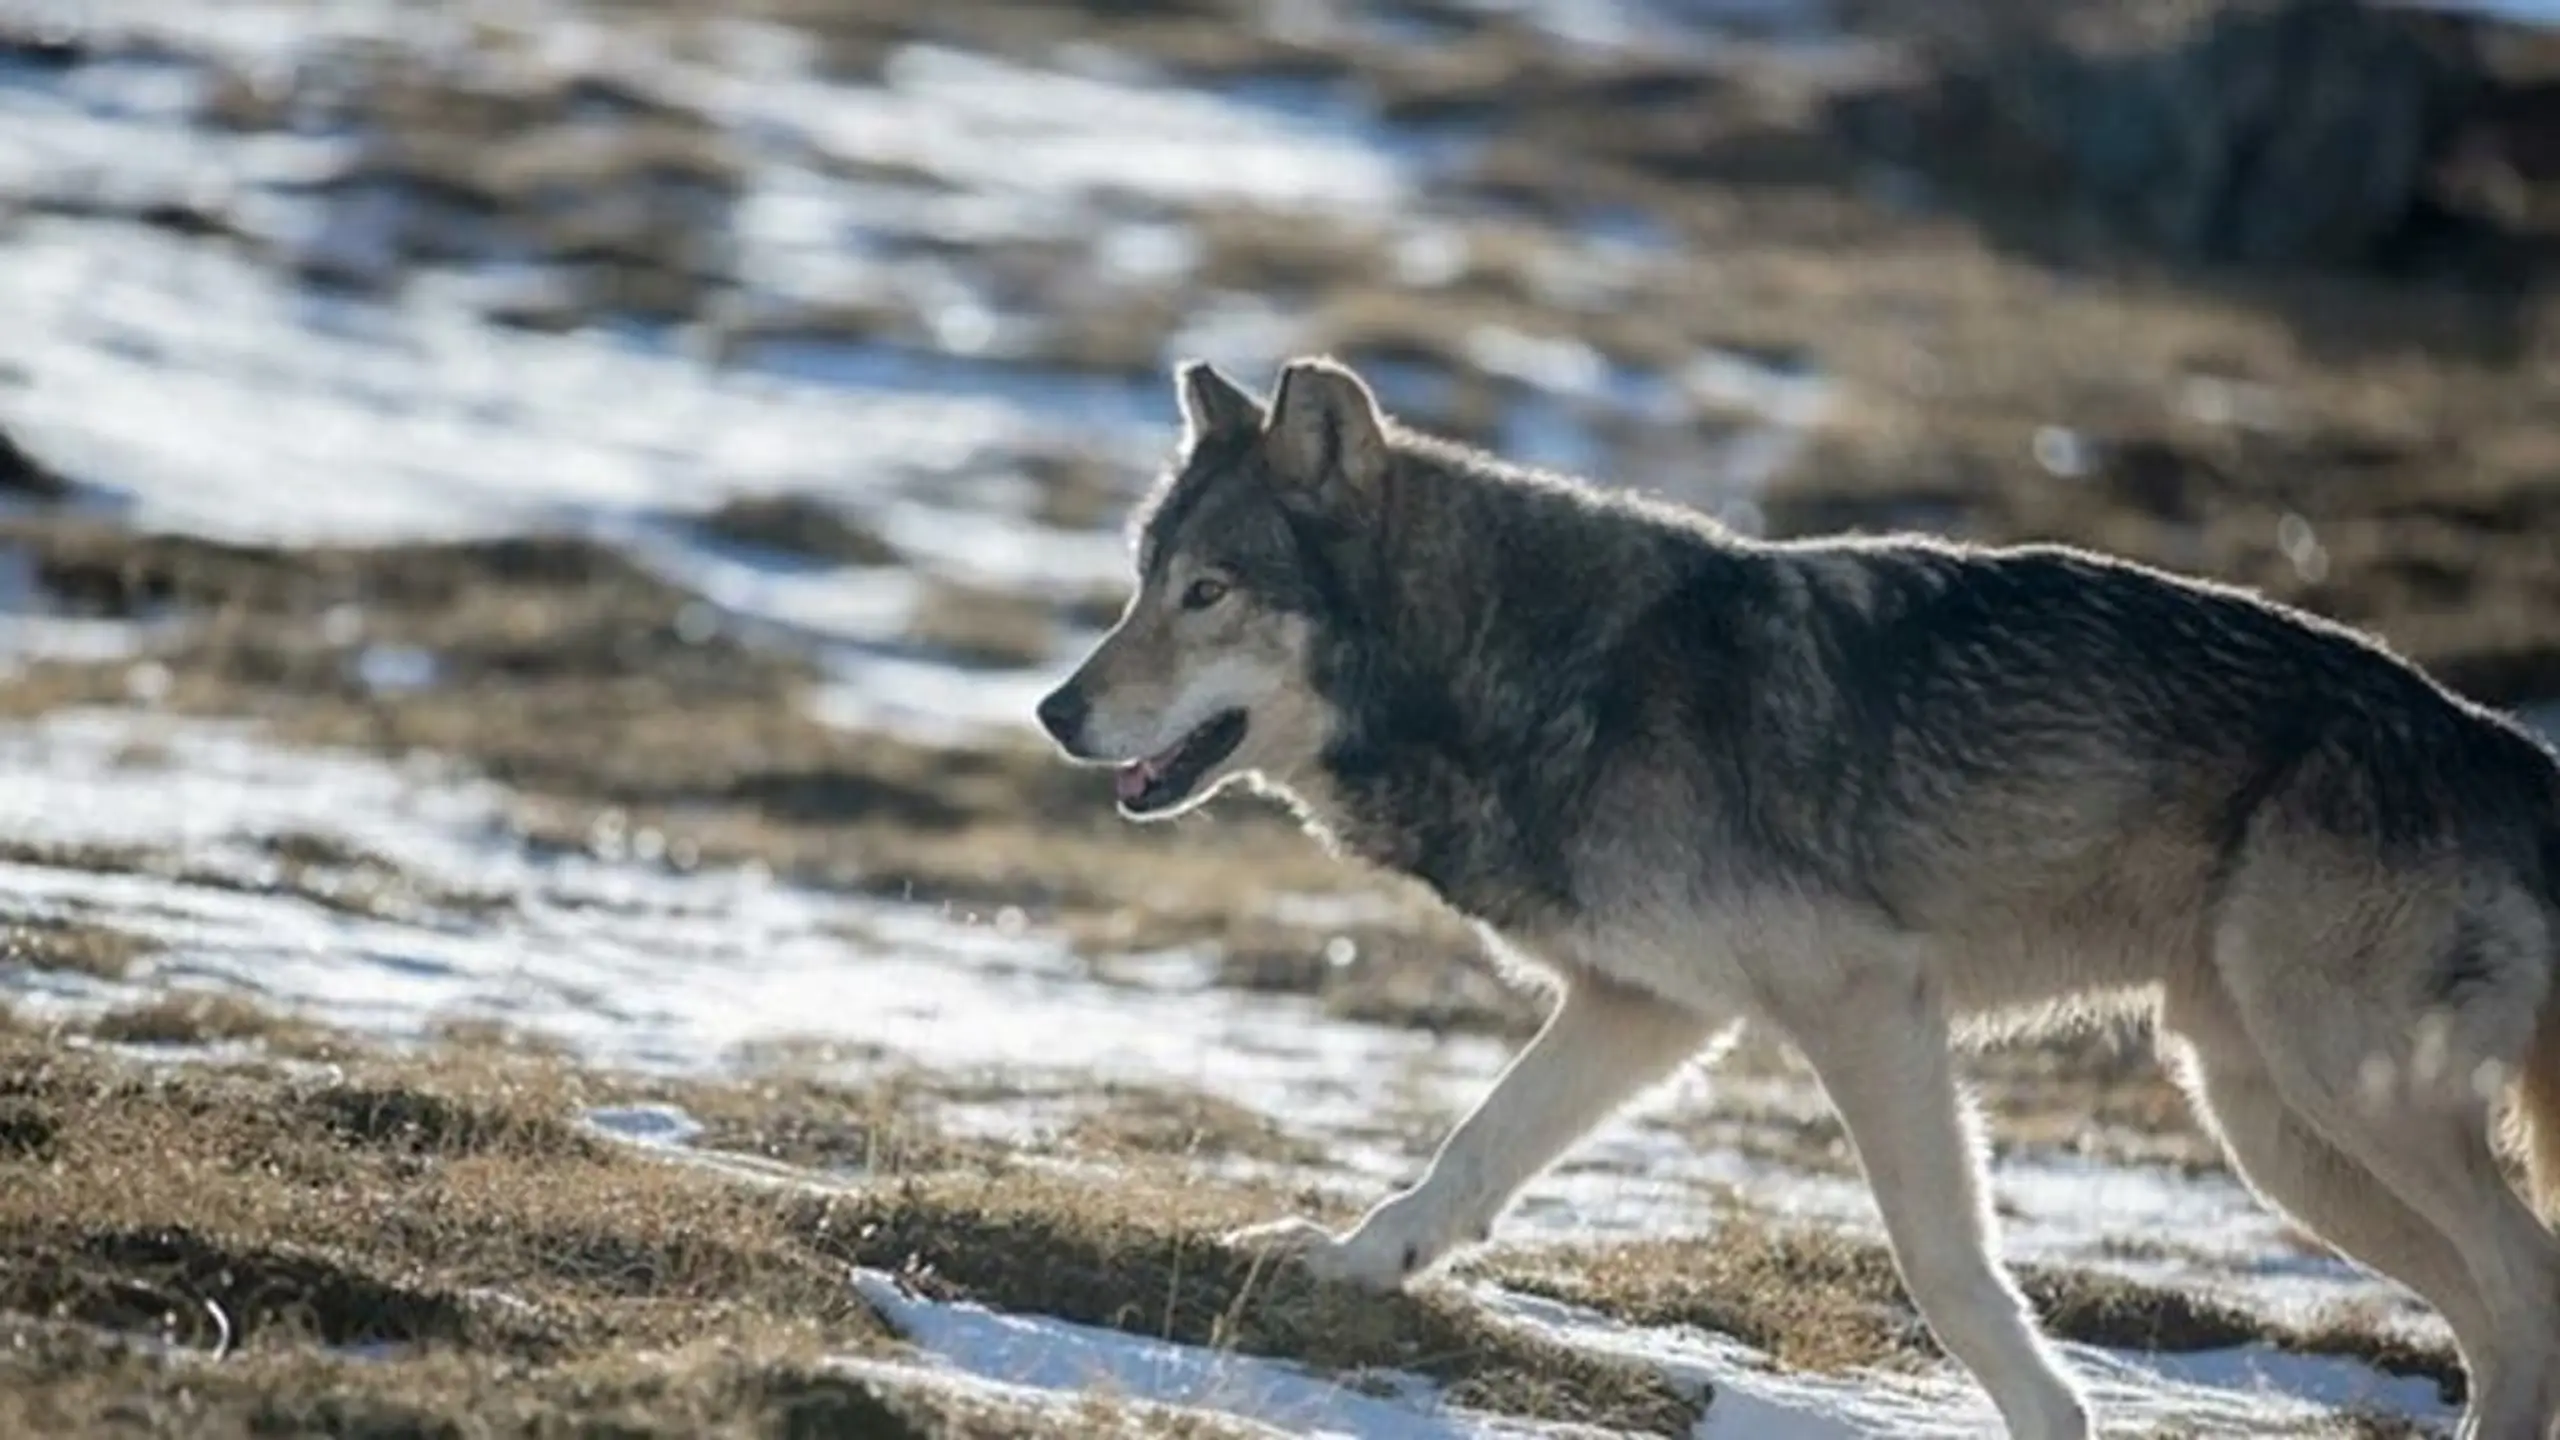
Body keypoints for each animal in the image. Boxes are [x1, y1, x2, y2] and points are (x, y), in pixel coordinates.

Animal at [1029, 351, 2560, 1434]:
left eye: (1209, 593)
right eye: (1140, 580)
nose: (1054, 710)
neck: (1539, 674)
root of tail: (2512, 753)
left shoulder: (1867, 1004)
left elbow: (1945, 1266)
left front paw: (2052, 1417)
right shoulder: (1642, 1009)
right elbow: (1467, 1157)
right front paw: (1345, 1261)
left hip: (2337, 1094)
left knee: (2526, 1289)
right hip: (2272, 1126)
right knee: (2496, 1318)